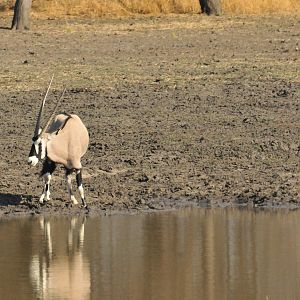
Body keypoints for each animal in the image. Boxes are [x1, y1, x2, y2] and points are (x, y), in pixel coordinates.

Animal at [28, 77, 89, 209]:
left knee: (67, 177)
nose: (30, 161)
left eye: (40, 144)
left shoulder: (77, 165)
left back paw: (73, 199)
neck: (64, 142)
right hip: (53, 163)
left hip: (67, 165)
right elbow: (47, 177)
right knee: (51, 176)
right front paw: (44, 198)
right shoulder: (51, 161)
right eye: (32, 143)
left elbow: (80, 185)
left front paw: (84, 204)